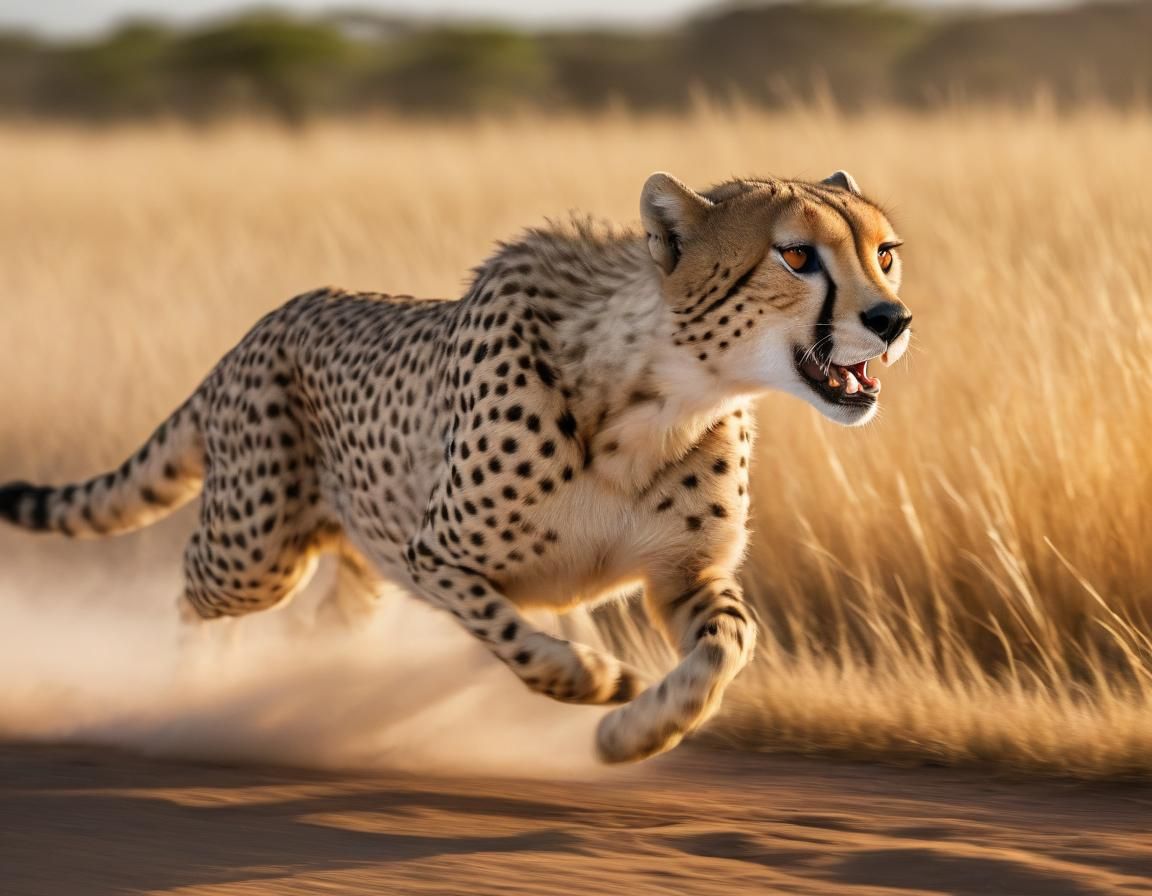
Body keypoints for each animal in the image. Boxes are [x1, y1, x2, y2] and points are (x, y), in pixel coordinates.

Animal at [0, 170, 912, 763]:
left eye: (885, 253)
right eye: (797, 257)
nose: (893, 319)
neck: (663, 392)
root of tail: (260, 326)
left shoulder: (683, 575)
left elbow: (726, 647)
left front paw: (634, 733)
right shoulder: (433, 555)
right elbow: (516, 638)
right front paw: (589, 679)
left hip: (344, 572)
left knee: (318, 630)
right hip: (255, 552)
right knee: (192, 592)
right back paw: (192, 692)